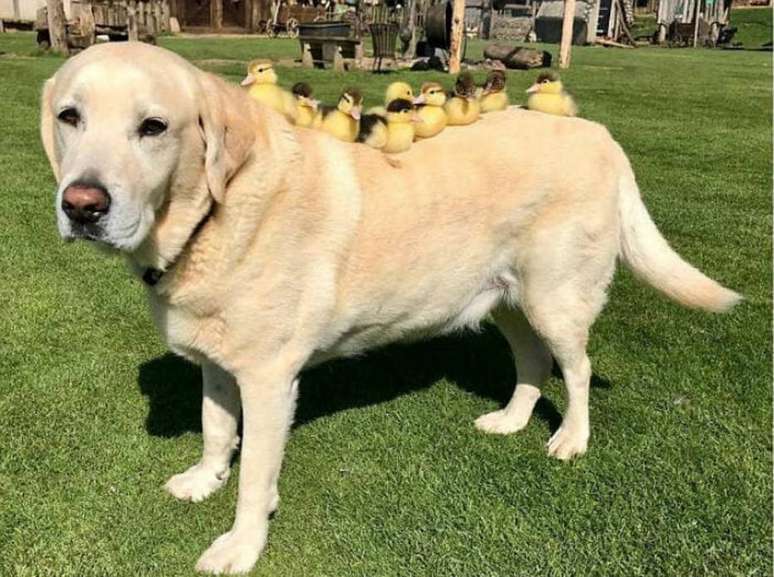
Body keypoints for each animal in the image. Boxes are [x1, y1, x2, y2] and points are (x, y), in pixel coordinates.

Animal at [39, 42, 744, 572]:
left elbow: (255, 477)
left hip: (555, 298)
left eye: (153, 127)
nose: (83, 206)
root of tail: (596, 132)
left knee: (577, 369)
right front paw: (205, 478)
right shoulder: (217, 362)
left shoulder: (269, 380)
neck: (213, 214)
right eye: (70, 117)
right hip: (505, 301)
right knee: (533, 363)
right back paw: (512, 420)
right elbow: (216, 430)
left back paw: (571, 439)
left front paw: (241, 544)